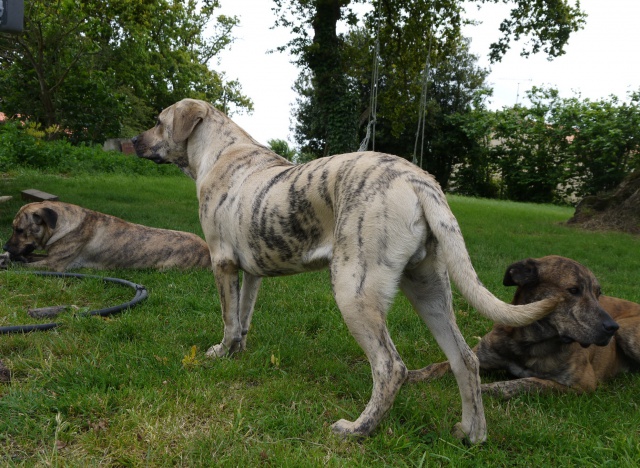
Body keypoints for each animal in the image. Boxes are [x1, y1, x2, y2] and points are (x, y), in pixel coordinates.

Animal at [2, 201, 212, 270]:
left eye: (19, 230)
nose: (5, 247)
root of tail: (207, 249)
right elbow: (30, 257)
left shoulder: (54, 265)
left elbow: (23, 266)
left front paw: (10, 262)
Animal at [132, 98, 556, 442]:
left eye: (158, 121)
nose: (133, 140)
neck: (219, 151)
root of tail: (418, 180)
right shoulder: (251, 272)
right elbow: (244, 318)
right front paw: (237, 354)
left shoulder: (222, 262)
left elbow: (228, 319)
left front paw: (220, 354)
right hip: (429, 288)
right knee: (464, 359)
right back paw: (472, 434)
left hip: (354, 290)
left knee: (390, 367)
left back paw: (357, 430)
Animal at [408, 256, 640, 398]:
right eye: (573, 290)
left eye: (598, 294)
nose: (611, 327)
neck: (530, 342)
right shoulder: (481, 355)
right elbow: (438, 365)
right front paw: (413, 375)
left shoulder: (582, 384)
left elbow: (529, 382)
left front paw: (486, 389)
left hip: (627, 331)